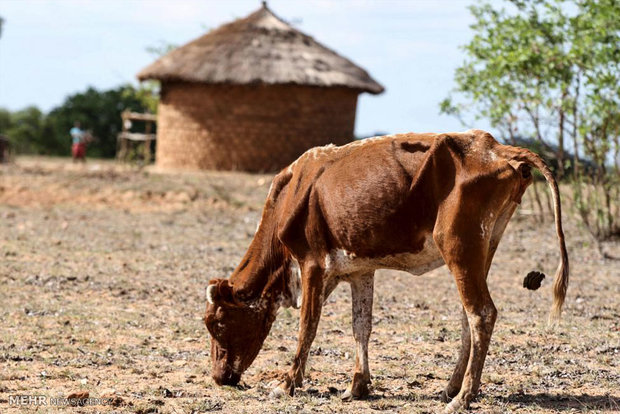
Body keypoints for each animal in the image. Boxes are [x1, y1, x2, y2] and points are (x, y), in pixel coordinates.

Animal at [203, 129, 568, 410]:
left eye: (217, 322)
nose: (219, 377)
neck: (293, 192)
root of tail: (495, 147)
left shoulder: (312, 263)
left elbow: (308, 326)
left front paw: (287, 383)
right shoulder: (358, 271)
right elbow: (360, 326)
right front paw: (357, 385)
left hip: (458, 245)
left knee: (481, 313)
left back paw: (462, 396)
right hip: (484, 246)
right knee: (469, 317)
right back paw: (452, 387)